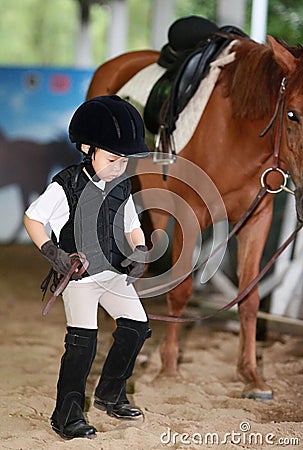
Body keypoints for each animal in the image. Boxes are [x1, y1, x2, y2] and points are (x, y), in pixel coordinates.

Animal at [86, 37, 303, 400]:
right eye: (292, 113)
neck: (237, 129)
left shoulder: (258, 217)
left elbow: (249, 296)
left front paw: (251, 376)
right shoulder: (191, 212)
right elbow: (181, 291)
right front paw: (169, 370)